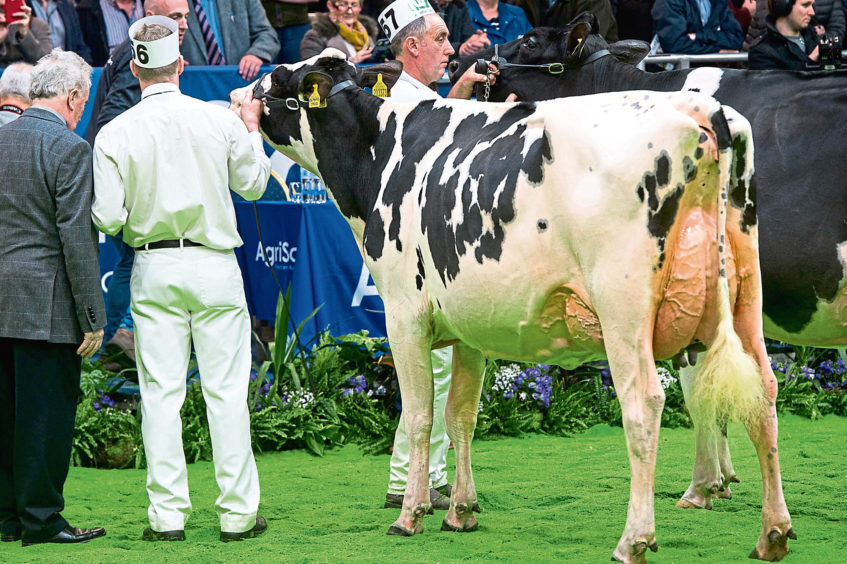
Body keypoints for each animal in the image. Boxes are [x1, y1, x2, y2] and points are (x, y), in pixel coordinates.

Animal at [232, 49, 796, 564]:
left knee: (644, 406)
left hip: (623, 307)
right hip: (744, 292)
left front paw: (411, 513)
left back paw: (633, 539)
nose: (238, 94)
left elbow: (419, 416)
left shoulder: (403, 313)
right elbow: (461, 415)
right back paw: (772, 533)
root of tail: (698, 107)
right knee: (763, 392)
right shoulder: (468, 323)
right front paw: (460, 511)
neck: (381, 152)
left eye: (278, 77)